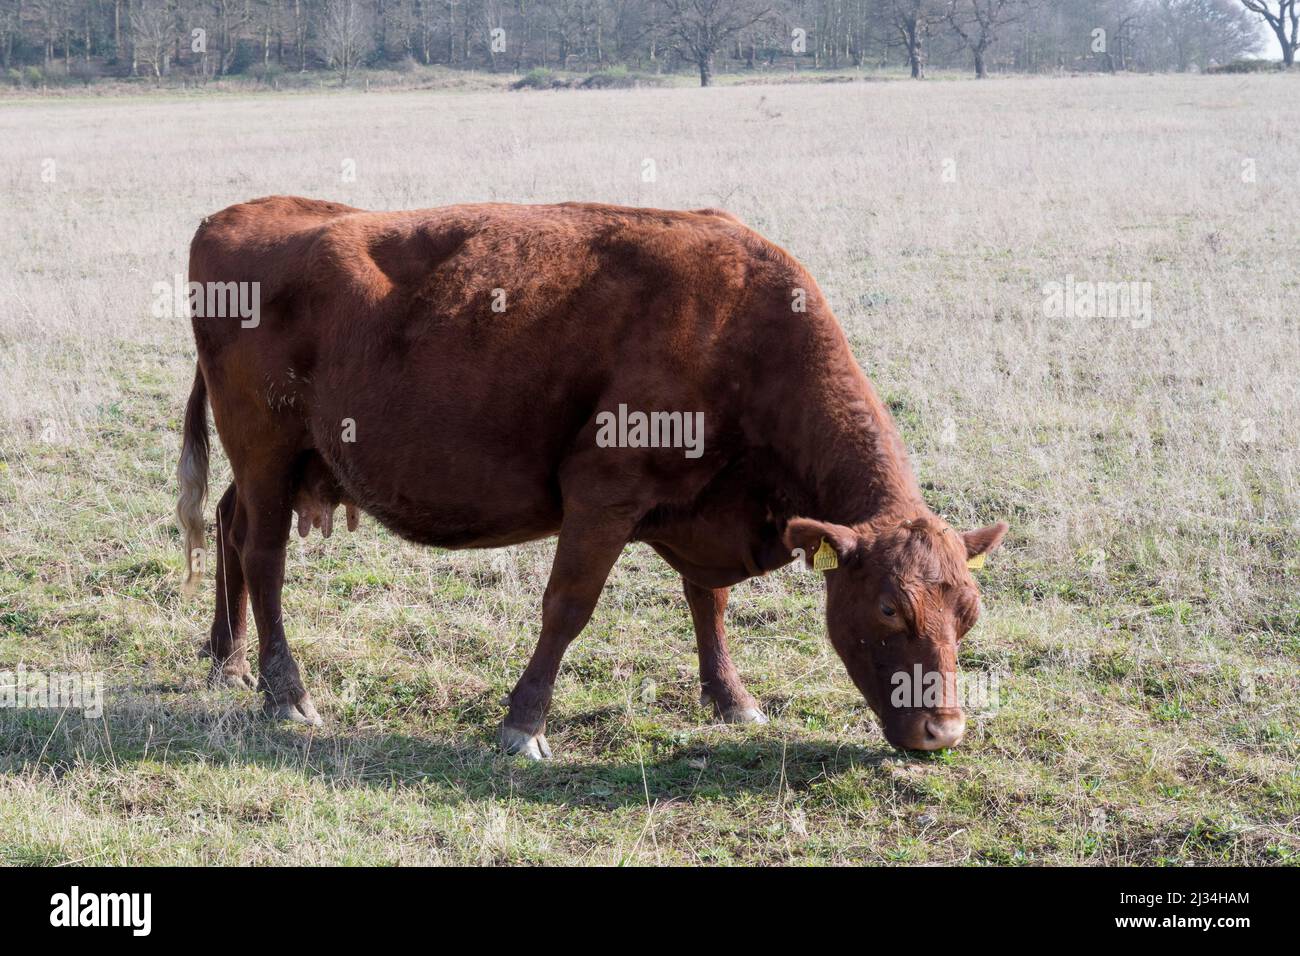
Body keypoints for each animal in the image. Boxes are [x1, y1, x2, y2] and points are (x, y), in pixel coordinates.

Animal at [176, 196, 1008, 759]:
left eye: (967, 613)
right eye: (891, 609)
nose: (944, 730)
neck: (745, 329)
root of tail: (239, 213)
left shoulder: (700, 502)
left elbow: (708, 601)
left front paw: (730, 697)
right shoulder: (604, 493)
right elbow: (567, 608)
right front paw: (523, 725)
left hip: (275, 462)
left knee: (228, 526)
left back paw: (227, 660)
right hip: (265, 447)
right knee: (263, 556)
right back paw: (287, 692)